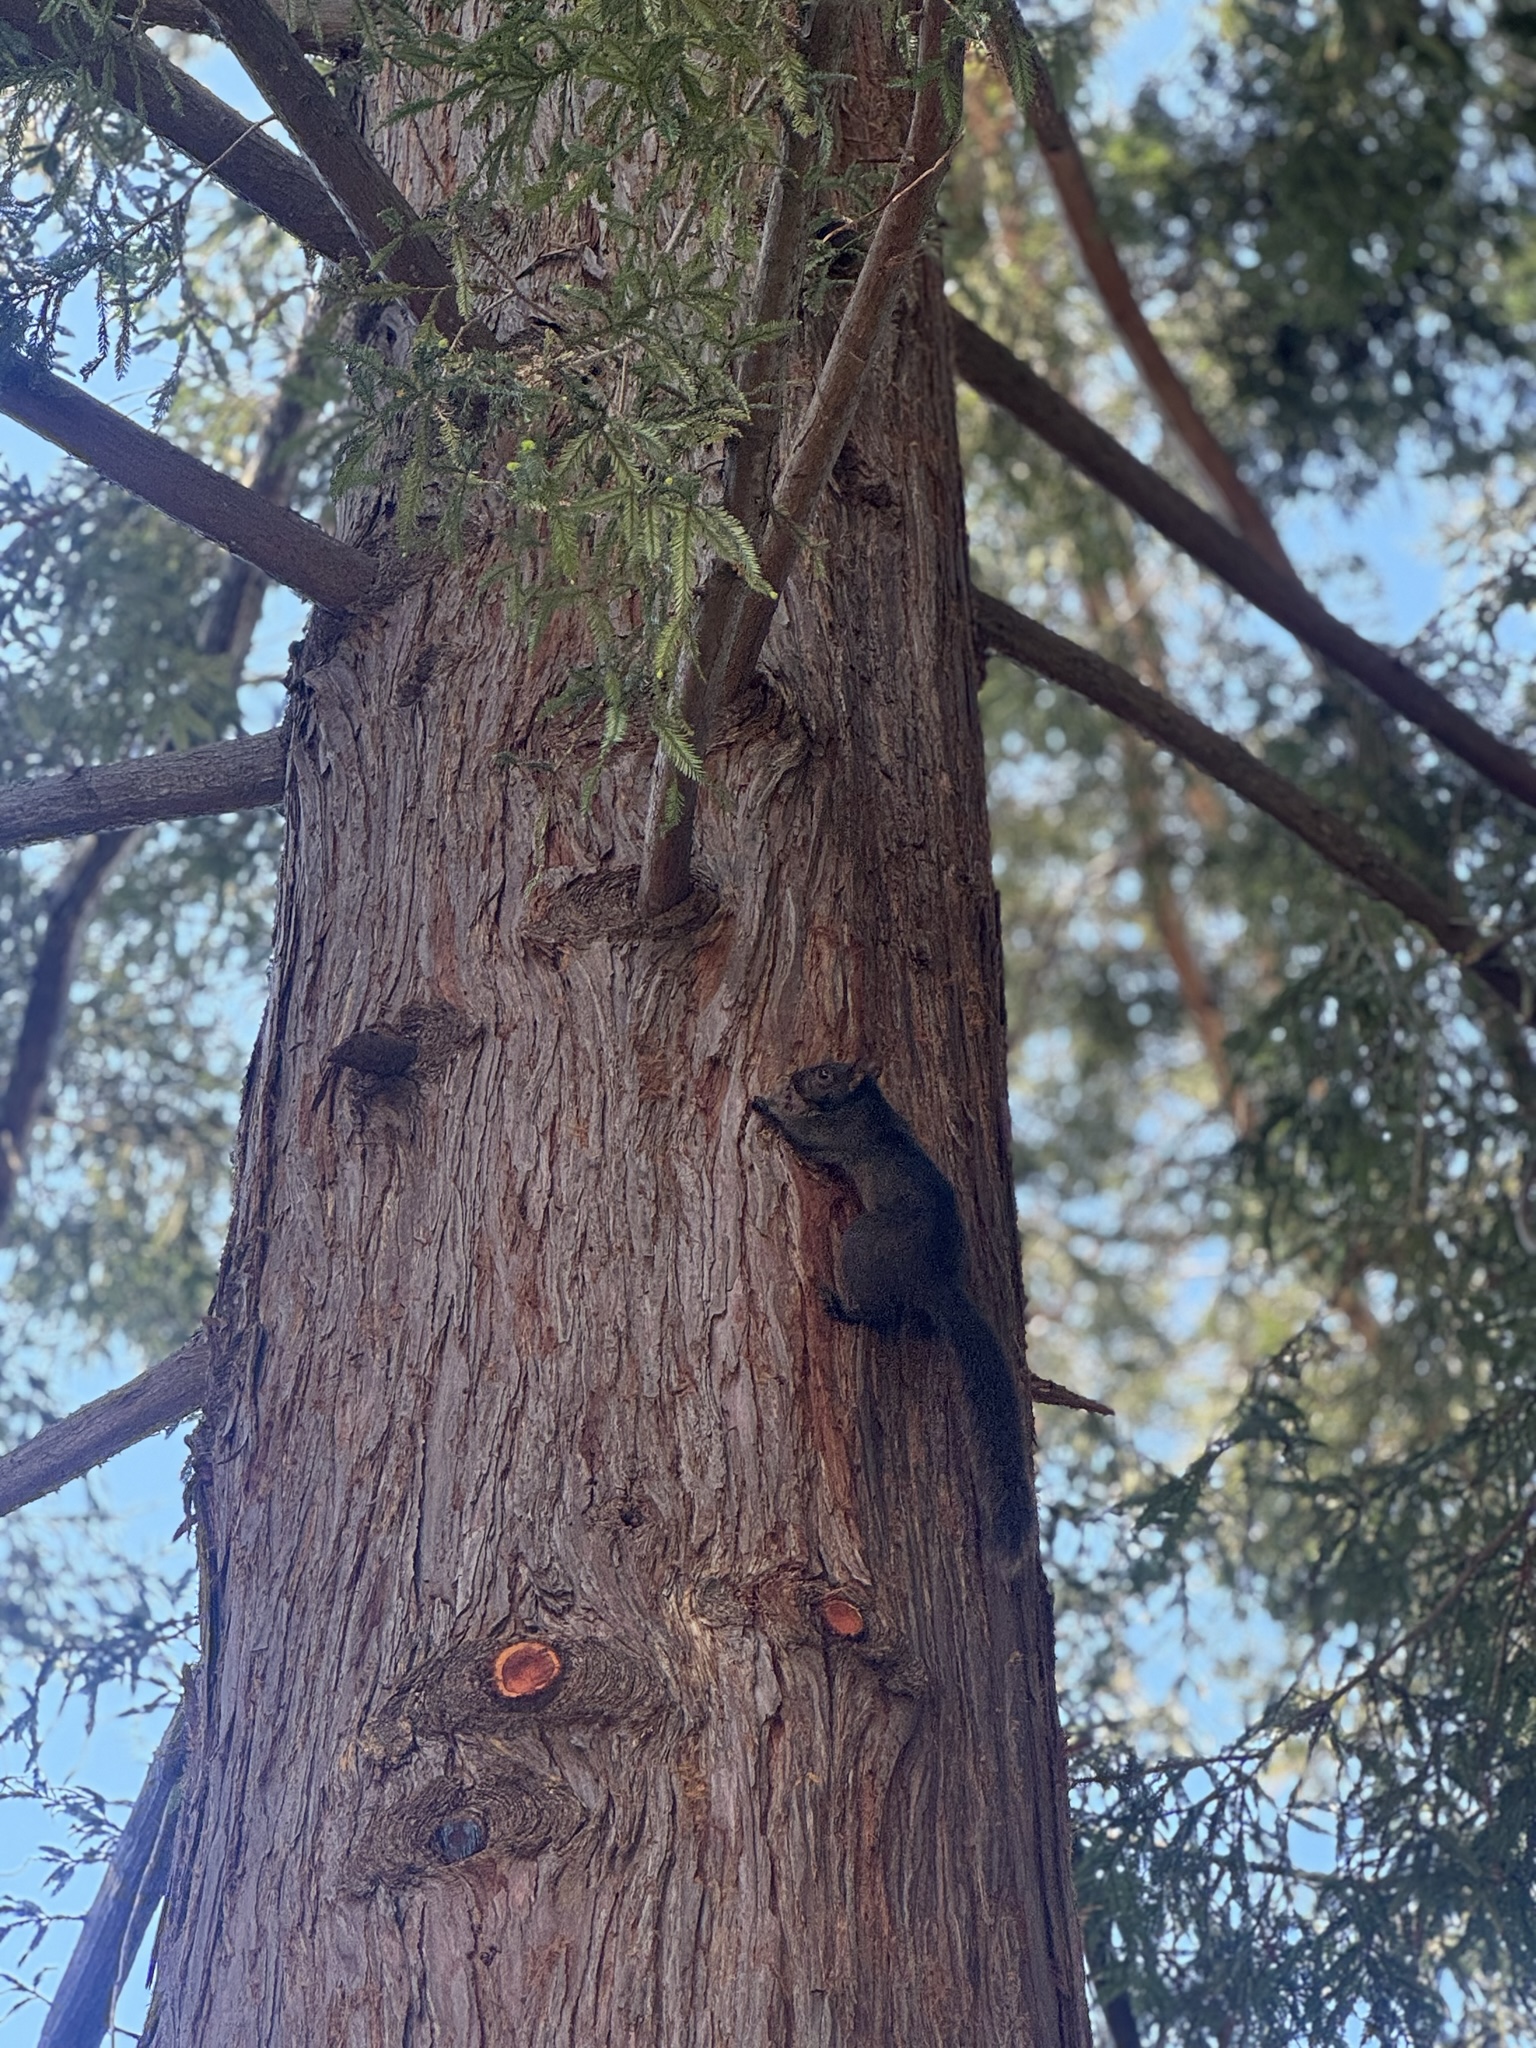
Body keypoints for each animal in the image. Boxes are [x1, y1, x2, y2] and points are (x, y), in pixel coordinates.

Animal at [751, 1059, 1030, 1552]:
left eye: (825, 1074)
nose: (797, 1076)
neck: (867, 1102)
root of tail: (932, 1279)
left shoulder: (839, 1132)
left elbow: (805, 1133)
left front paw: (768, 1107)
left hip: (863, 1241)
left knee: (880, 1315)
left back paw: (845, 1308)